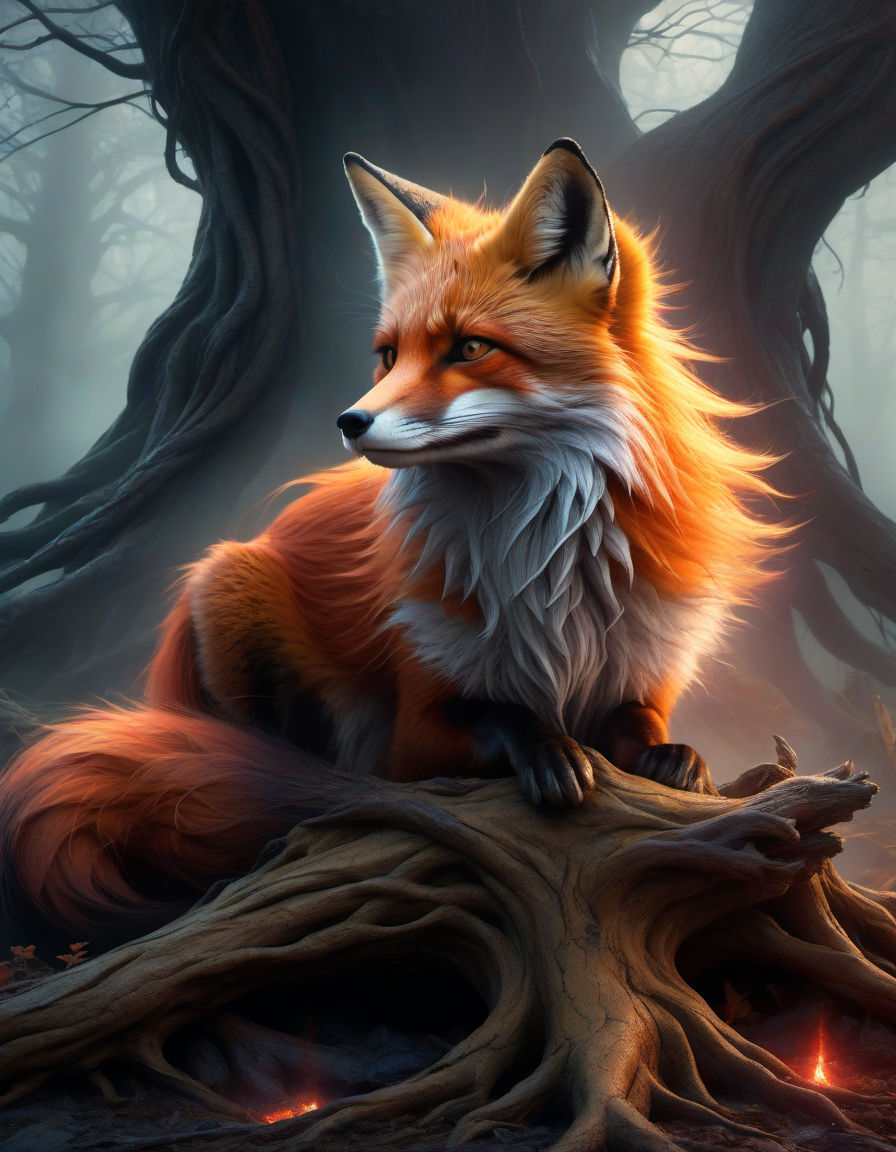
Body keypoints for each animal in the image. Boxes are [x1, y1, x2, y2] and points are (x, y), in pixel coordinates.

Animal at [0, 139, 779, 945]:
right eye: (387, 354)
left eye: (471, 347)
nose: (349, 421)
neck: (550, 570)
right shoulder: (418, 726)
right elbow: (498, 718)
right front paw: (546, 749)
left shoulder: (642, 671)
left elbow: (642, 729)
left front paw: (678, 763)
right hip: (230, 585)